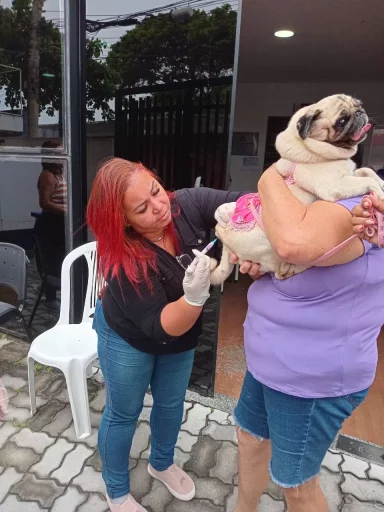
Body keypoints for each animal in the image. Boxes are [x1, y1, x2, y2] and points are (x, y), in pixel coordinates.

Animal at [210, 94, 384, 282]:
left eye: (359, 105)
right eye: (342, 121)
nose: (360, 113)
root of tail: (227, 246)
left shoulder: (347, 174)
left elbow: (367, 171)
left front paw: (381, 183)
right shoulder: (333, 184)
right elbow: (367, 181)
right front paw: (380, 194)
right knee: (280, 272)